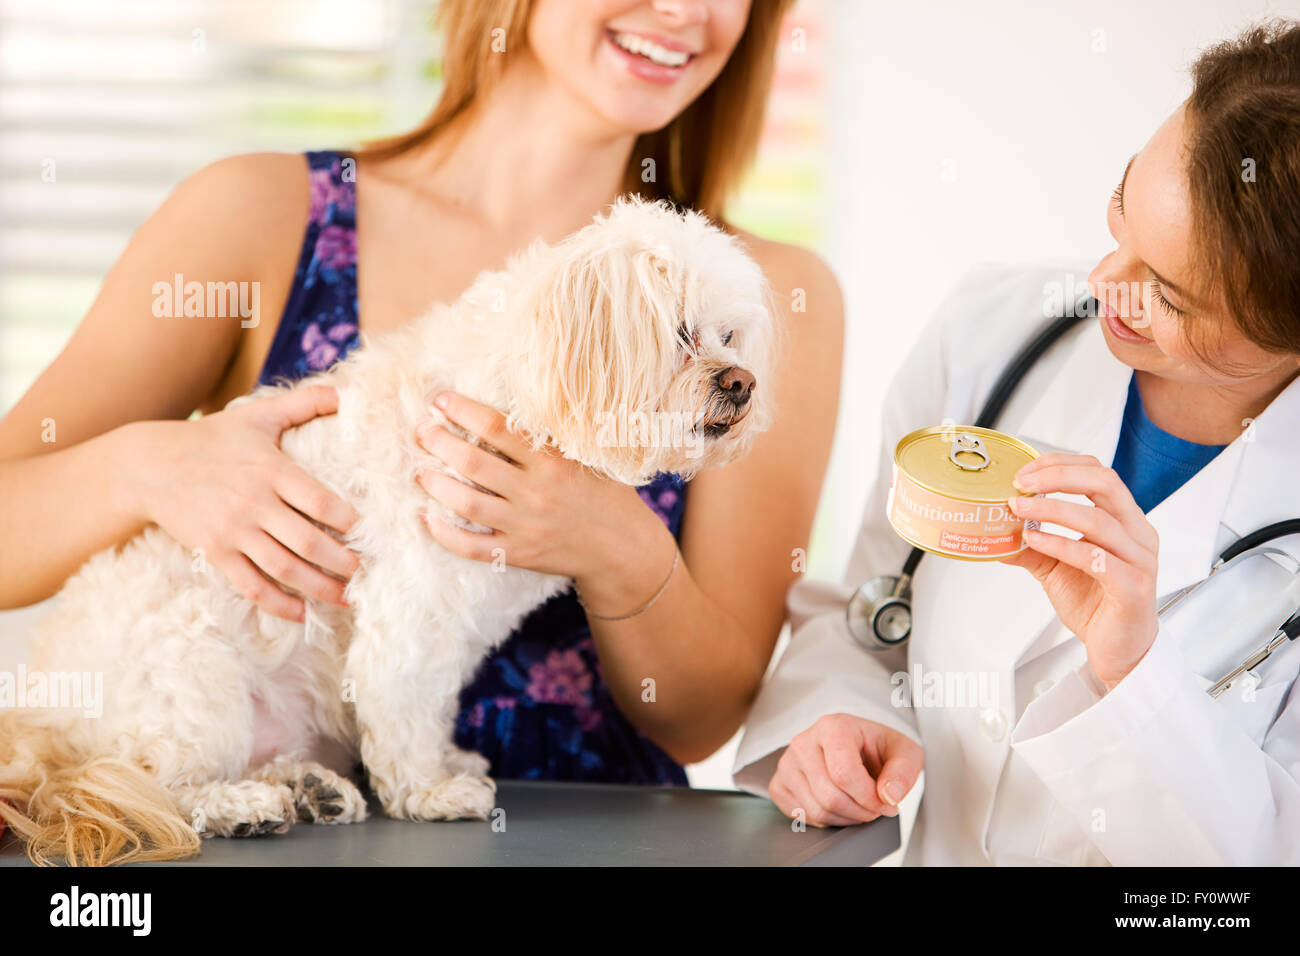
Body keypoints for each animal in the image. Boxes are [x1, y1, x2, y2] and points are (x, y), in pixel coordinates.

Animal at [0, 200, 769, 868]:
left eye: (730, 336)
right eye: (681, 335)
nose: (743, 383)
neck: (519, 391)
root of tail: (48, 722)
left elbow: (433, 701)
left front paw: (443, 761)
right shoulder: (412, 604)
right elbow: (403, 701)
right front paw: (429, 790)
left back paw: (312, 789)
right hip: (195, 680)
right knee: (145, 783)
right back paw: (242, 806)